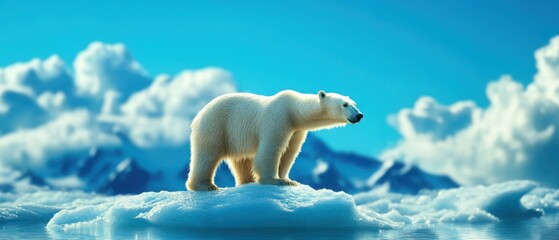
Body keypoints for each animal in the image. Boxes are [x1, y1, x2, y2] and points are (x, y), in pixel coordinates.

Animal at [186, 90, 366, 191]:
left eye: (354, 103)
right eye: (345, 104)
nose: (359, 115)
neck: (294, 110)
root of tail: (198, 115)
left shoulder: (296, 130)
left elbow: (289, 153)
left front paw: (288, 180)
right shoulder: (278, 119)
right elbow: (271, 149)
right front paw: (275, 180)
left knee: (242, 161)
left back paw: (246, 182)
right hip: (216, 126)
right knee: (207, 154)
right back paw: (205, 185)